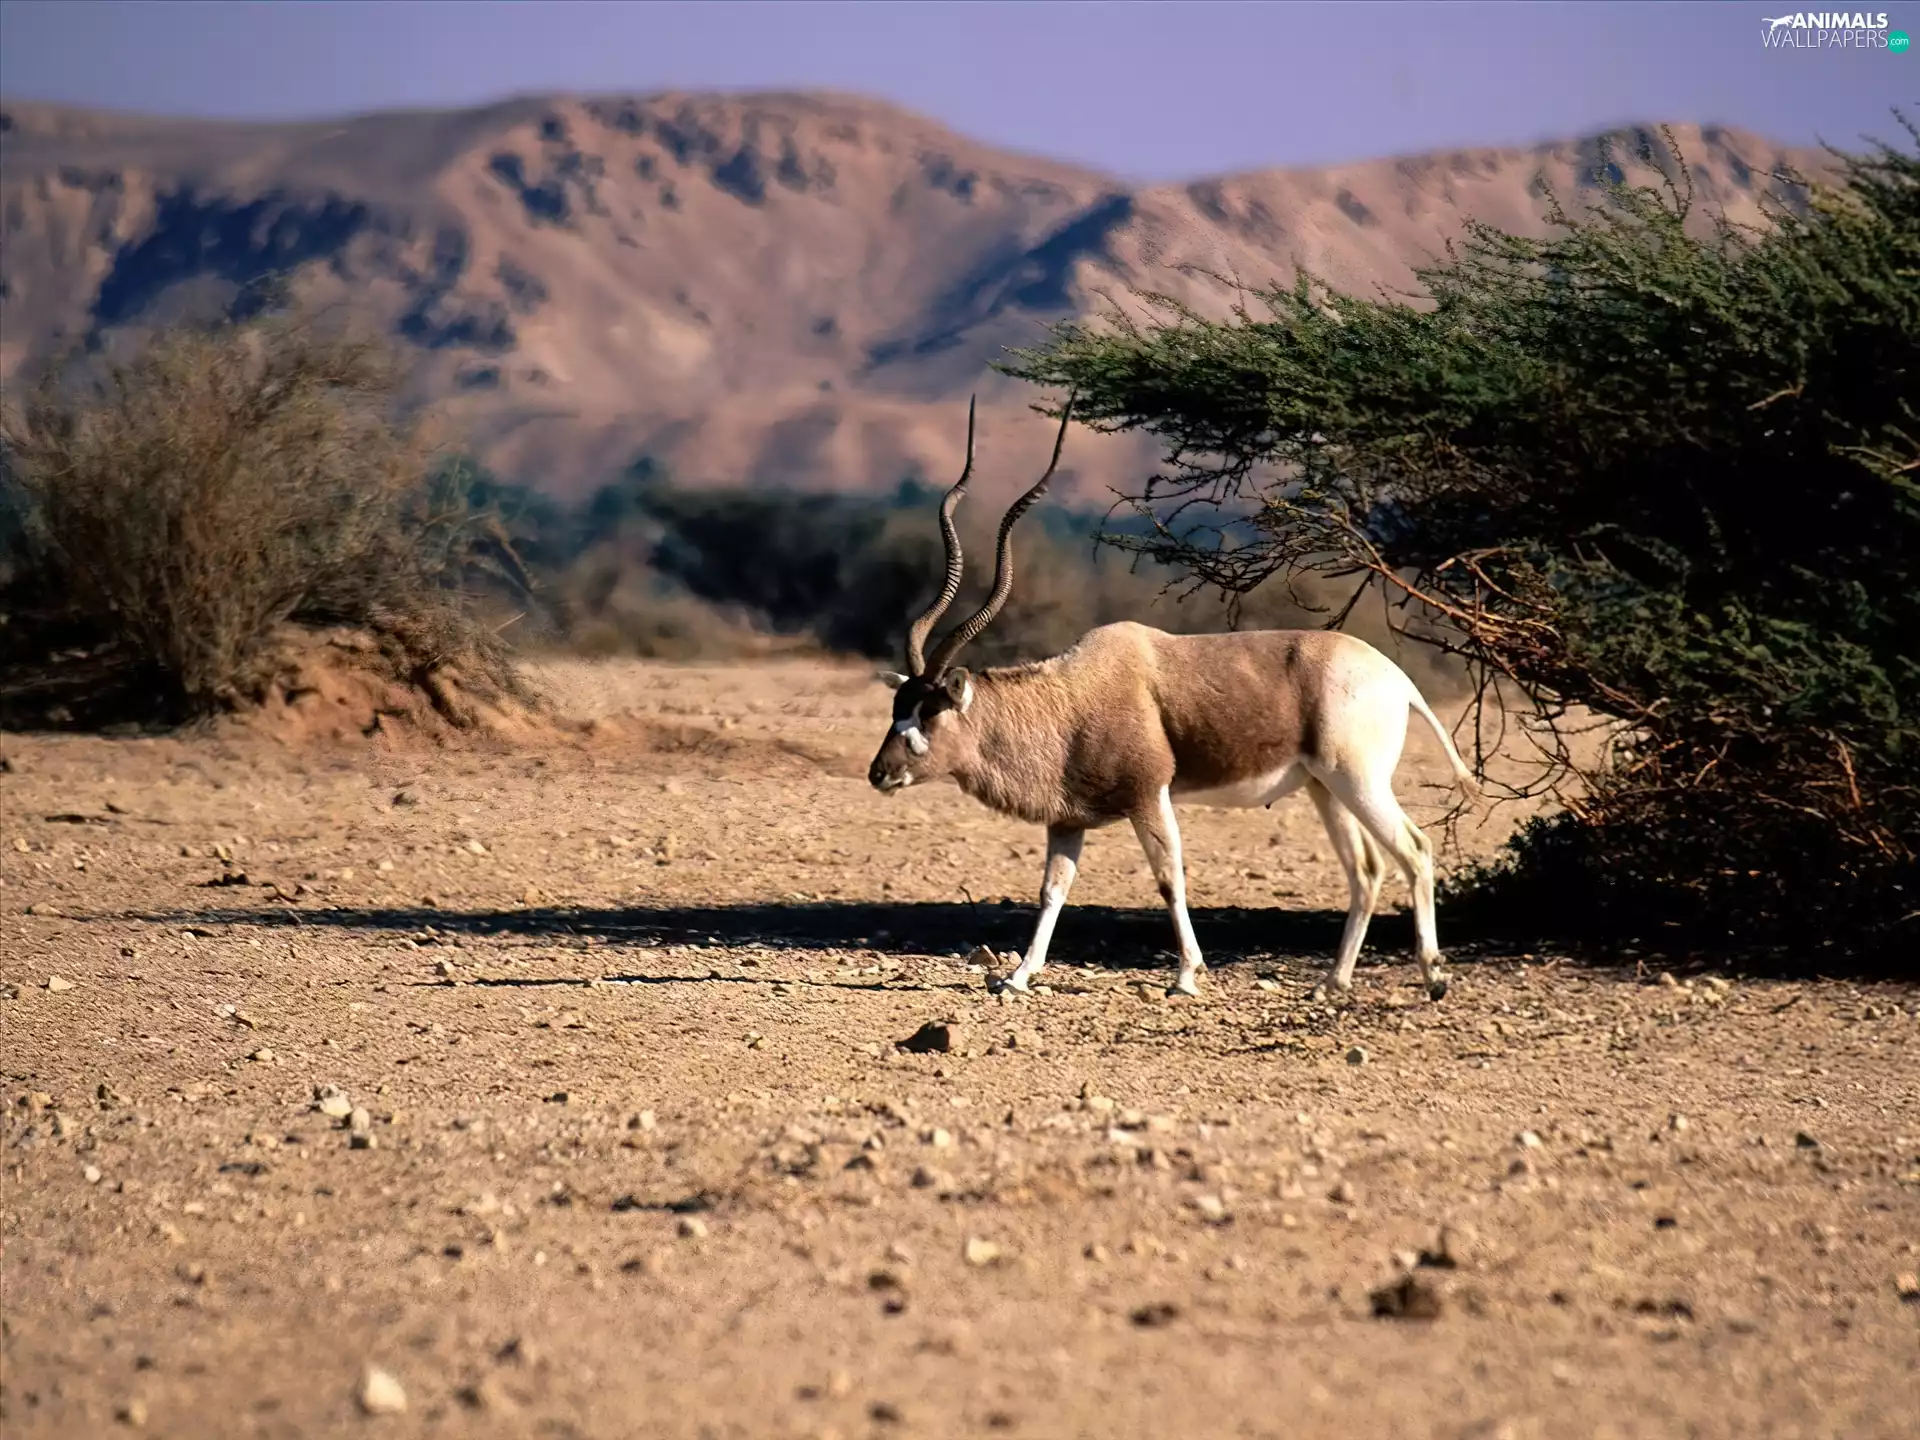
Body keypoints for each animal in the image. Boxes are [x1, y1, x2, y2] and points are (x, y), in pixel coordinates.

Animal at [868, 395, 1480, 1002]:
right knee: (1367, 869)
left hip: (1357, 780)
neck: (1070, 700)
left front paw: (1186, 976)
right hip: (1324, 788)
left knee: (1415, 850)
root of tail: (1395, 678)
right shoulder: (1066, 820)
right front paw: (1019, 976)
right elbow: (1052, 889)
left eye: (931, 712)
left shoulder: (1149, 796)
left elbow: (1168, 878)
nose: (879, 773)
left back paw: (1434, 977)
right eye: (898, 710)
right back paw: (1333, 982)